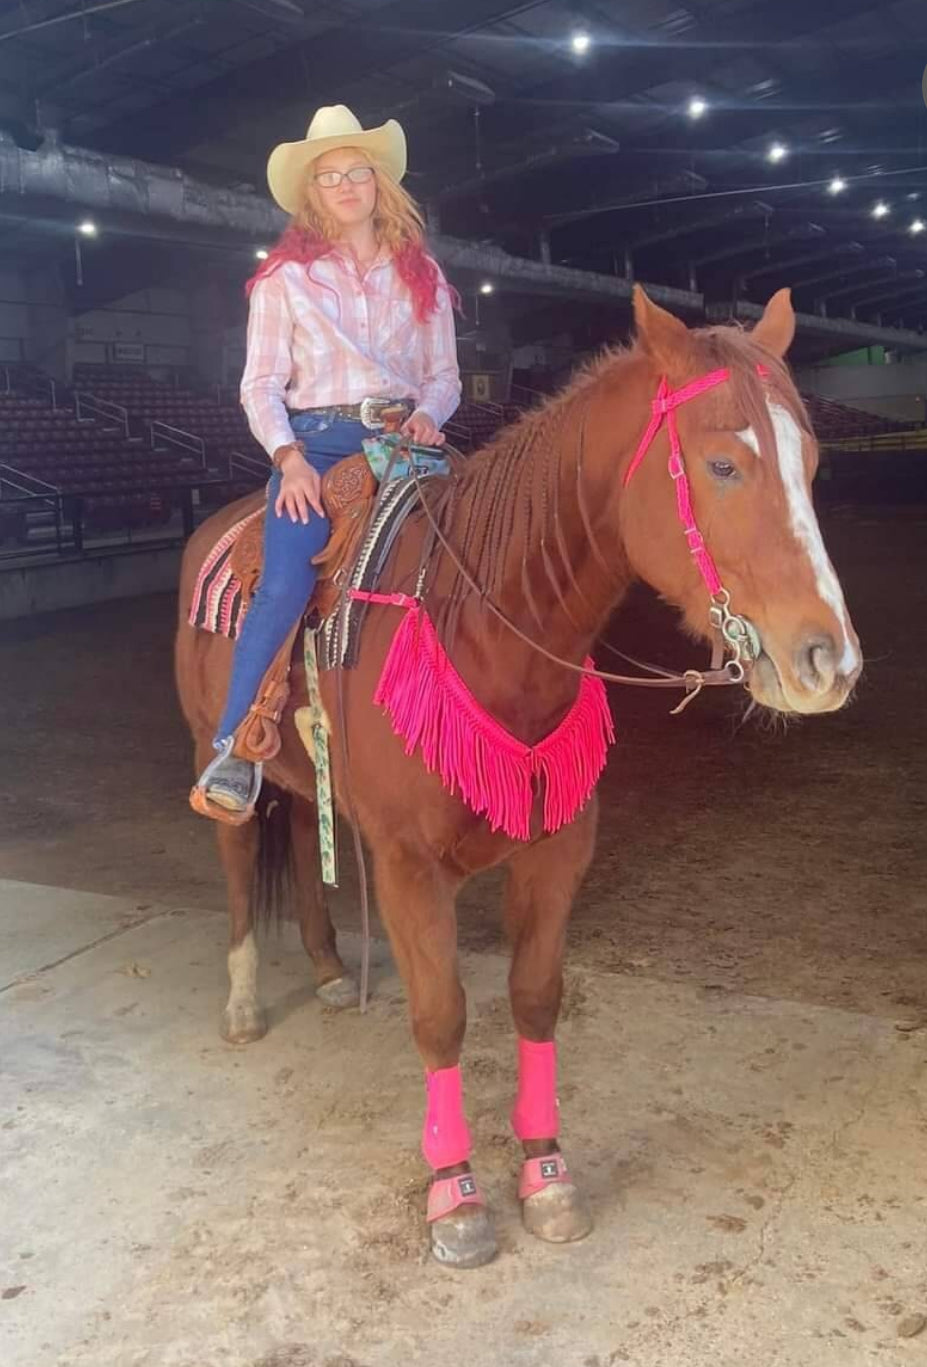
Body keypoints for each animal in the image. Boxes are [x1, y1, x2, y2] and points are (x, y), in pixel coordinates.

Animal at [175, 285, 861, 1269]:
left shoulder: (556, 849)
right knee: (236, 858)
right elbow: (441, 1014)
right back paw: (241, 1003)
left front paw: (545, 1174)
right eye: (723, 464)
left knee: (305, 842)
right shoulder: (410, 867)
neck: (484, 626)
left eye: (809, 461)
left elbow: (535, 999)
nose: (826, 662)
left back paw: (331, 970)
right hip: (213, 748)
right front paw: (454, 1197)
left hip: (308, 776)